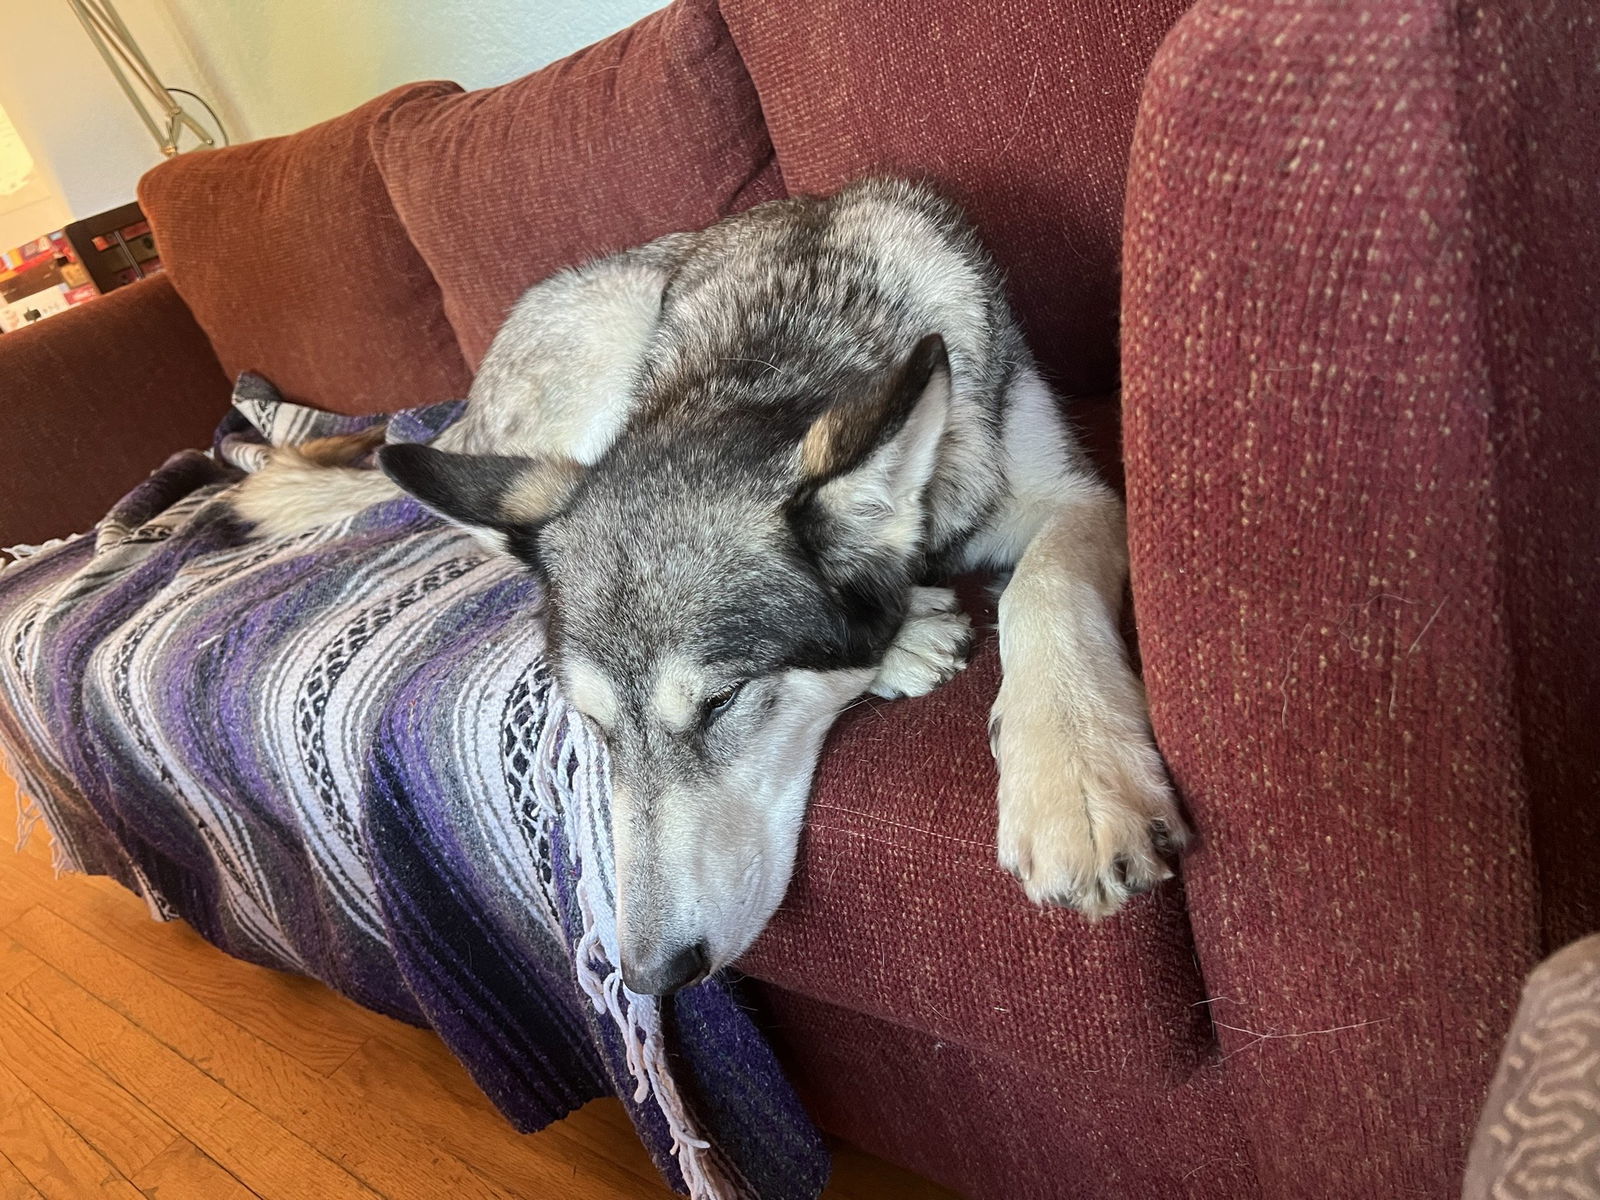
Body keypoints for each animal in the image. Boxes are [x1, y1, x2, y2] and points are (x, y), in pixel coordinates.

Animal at [233, 178, 1190, 998]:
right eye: (593, 728)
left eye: (722, 702)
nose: (649, 977)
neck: (784, 350)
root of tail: (462, 409)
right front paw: (905, 644)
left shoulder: (1070, 494)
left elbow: (1042, 587)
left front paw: (1077, 780)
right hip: (606, 347)